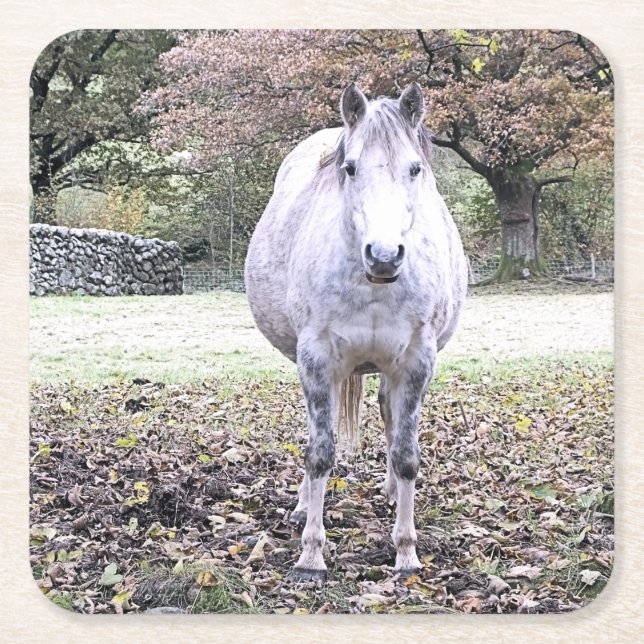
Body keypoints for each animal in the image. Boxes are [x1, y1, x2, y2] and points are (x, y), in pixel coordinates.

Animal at [245, 82, 467, 582]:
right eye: (350, 168)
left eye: (415, 168)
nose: (384, 256)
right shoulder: (316, 359)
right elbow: (320, 452)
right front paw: (311, 556)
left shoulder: (417, 362)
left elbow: (406, 455)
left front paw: (406, 553)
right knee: (318, 432)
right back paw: (303, 504)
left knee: (388, 416)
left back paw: (389, 493)